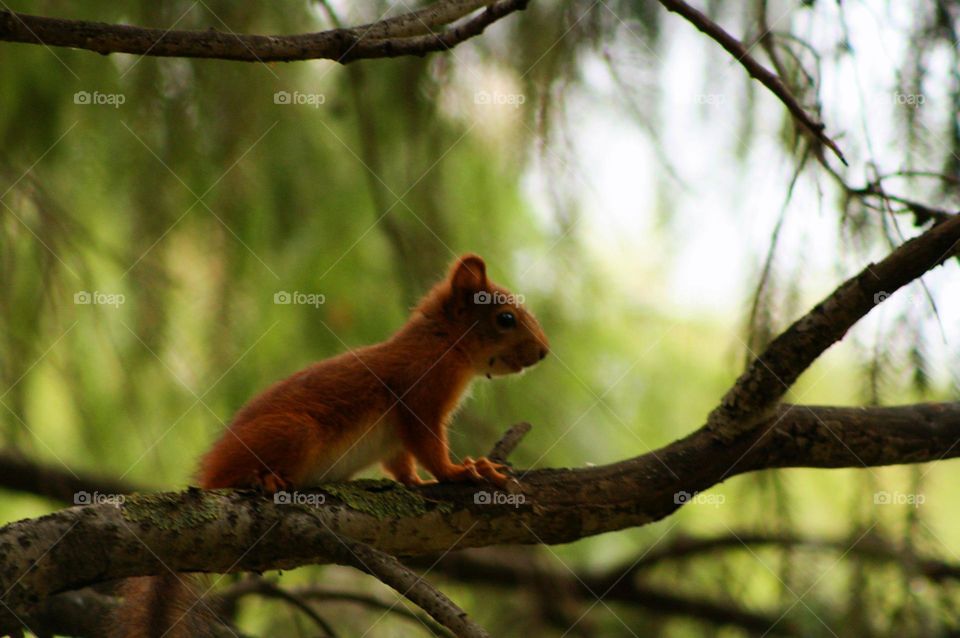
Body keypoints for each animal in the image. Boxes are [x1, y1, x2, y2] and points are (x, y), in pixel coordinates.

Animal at [113, 253, 549, 637]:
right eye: (505, 318)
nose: (545, 352)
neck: (442, 343)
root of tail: (207, 477)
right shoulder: (421, 394)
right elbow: (429, 447)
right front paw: (461, 470)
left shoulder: (396, 440)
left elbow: (400, 463)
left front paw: (417, 482)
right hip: (297, 432)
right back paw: (262, 478)